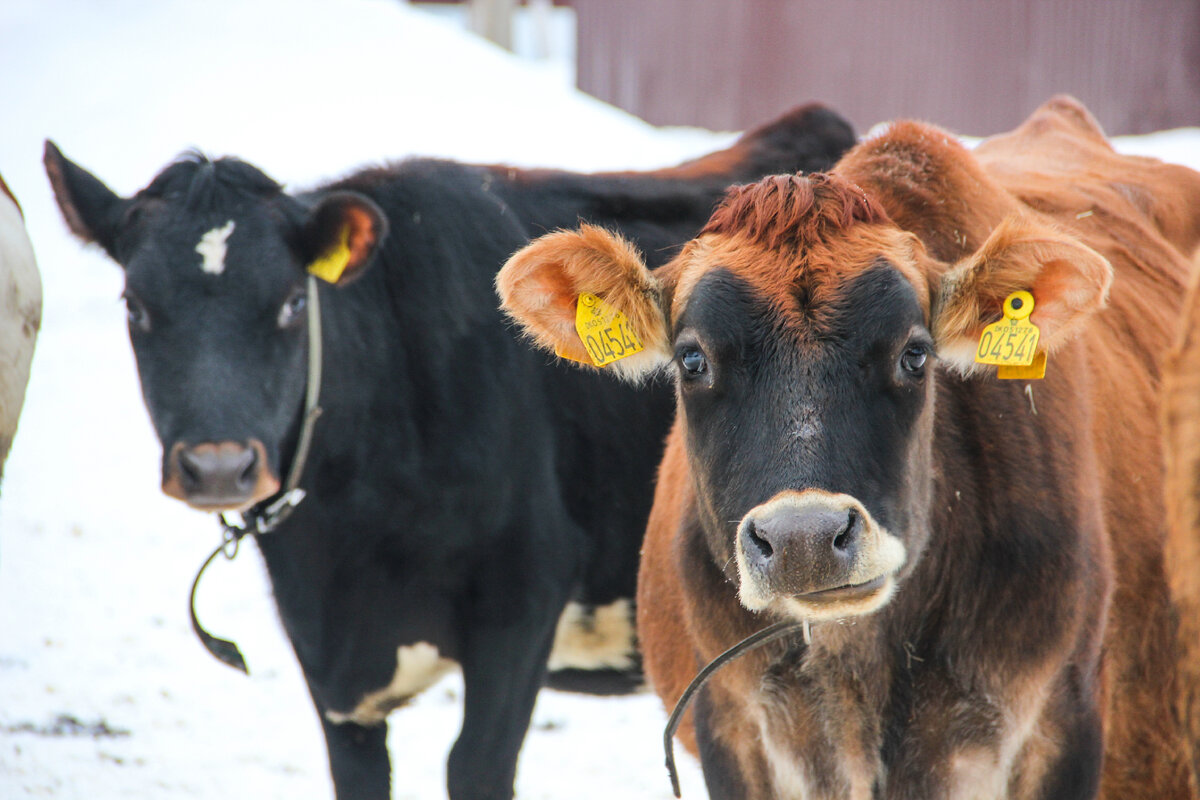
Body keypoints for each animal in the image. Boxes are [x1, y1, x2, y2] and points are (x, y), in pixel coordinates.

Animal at [44, 106, 854, 800]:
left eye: (292, 303)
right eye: (135, 306)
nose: (217, 466)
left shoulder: (522, 601)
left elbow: (474, 766)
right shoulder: (328, 660)